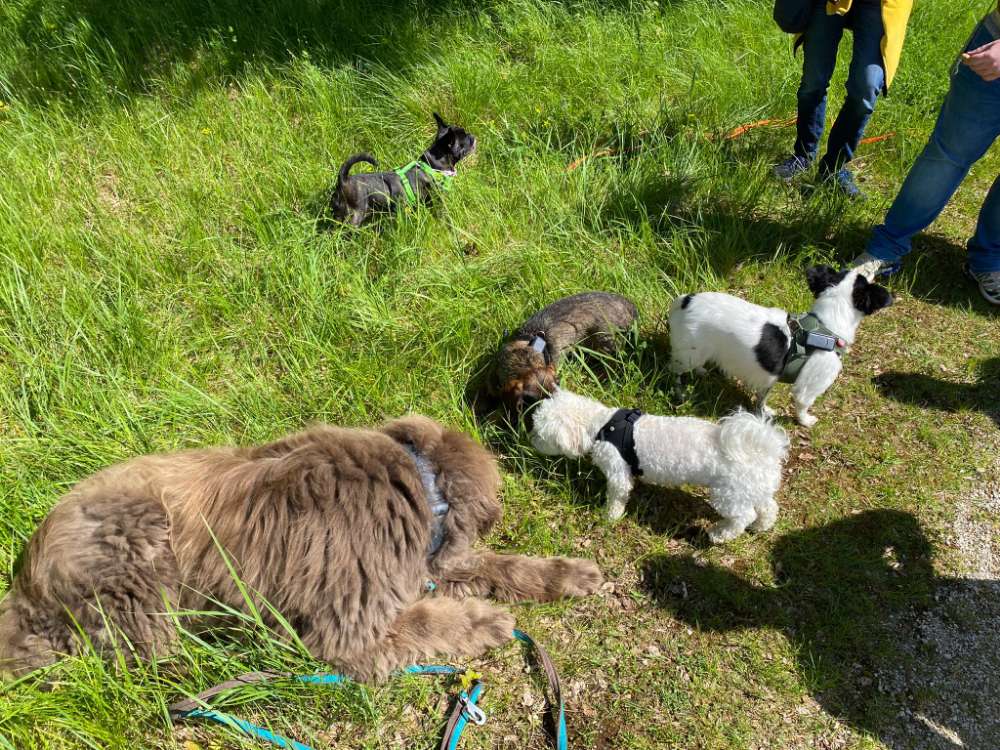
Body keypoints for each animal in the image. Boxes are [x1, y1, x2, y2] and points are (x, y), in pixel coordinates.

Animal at [0, 418, 600, 680]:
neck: (415, 479)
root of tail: (24, 587)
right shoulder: (351, 627)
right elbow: (426, 621)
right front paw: (484, 622)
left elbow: (500, 566)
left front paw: (567, 575)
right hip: (138, 551)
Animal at [330, 113, 478, 228]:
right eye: (465, 138)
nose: (473, 136)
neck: (432, 165)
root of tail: (343, 179)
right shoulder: (437, 201)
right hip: (356, 214)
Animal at [532, 390, 788, 544]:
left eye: (540, 435)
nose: (532, 441)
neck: (602, 426)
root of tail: (765, 447)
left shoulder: (618, 474)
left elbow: (617, 498)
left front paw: (609, 517)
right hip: (753, 488)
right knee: (768, 508)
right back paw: (761, 526)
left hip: (729, 495)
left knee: (743, 516)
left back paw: (720, 534)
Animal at [672, 268, 892, 428]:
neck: (825, 326)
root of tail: (686, 300)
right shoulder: (809, 386)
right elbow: (803, 404)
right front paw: (805, 421)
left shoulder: (771, 376)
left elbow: (763, 396)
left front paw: (763, 411)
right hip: (687, 355)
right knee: (674, 372)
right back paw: (679, 391)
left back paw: (701, 371)